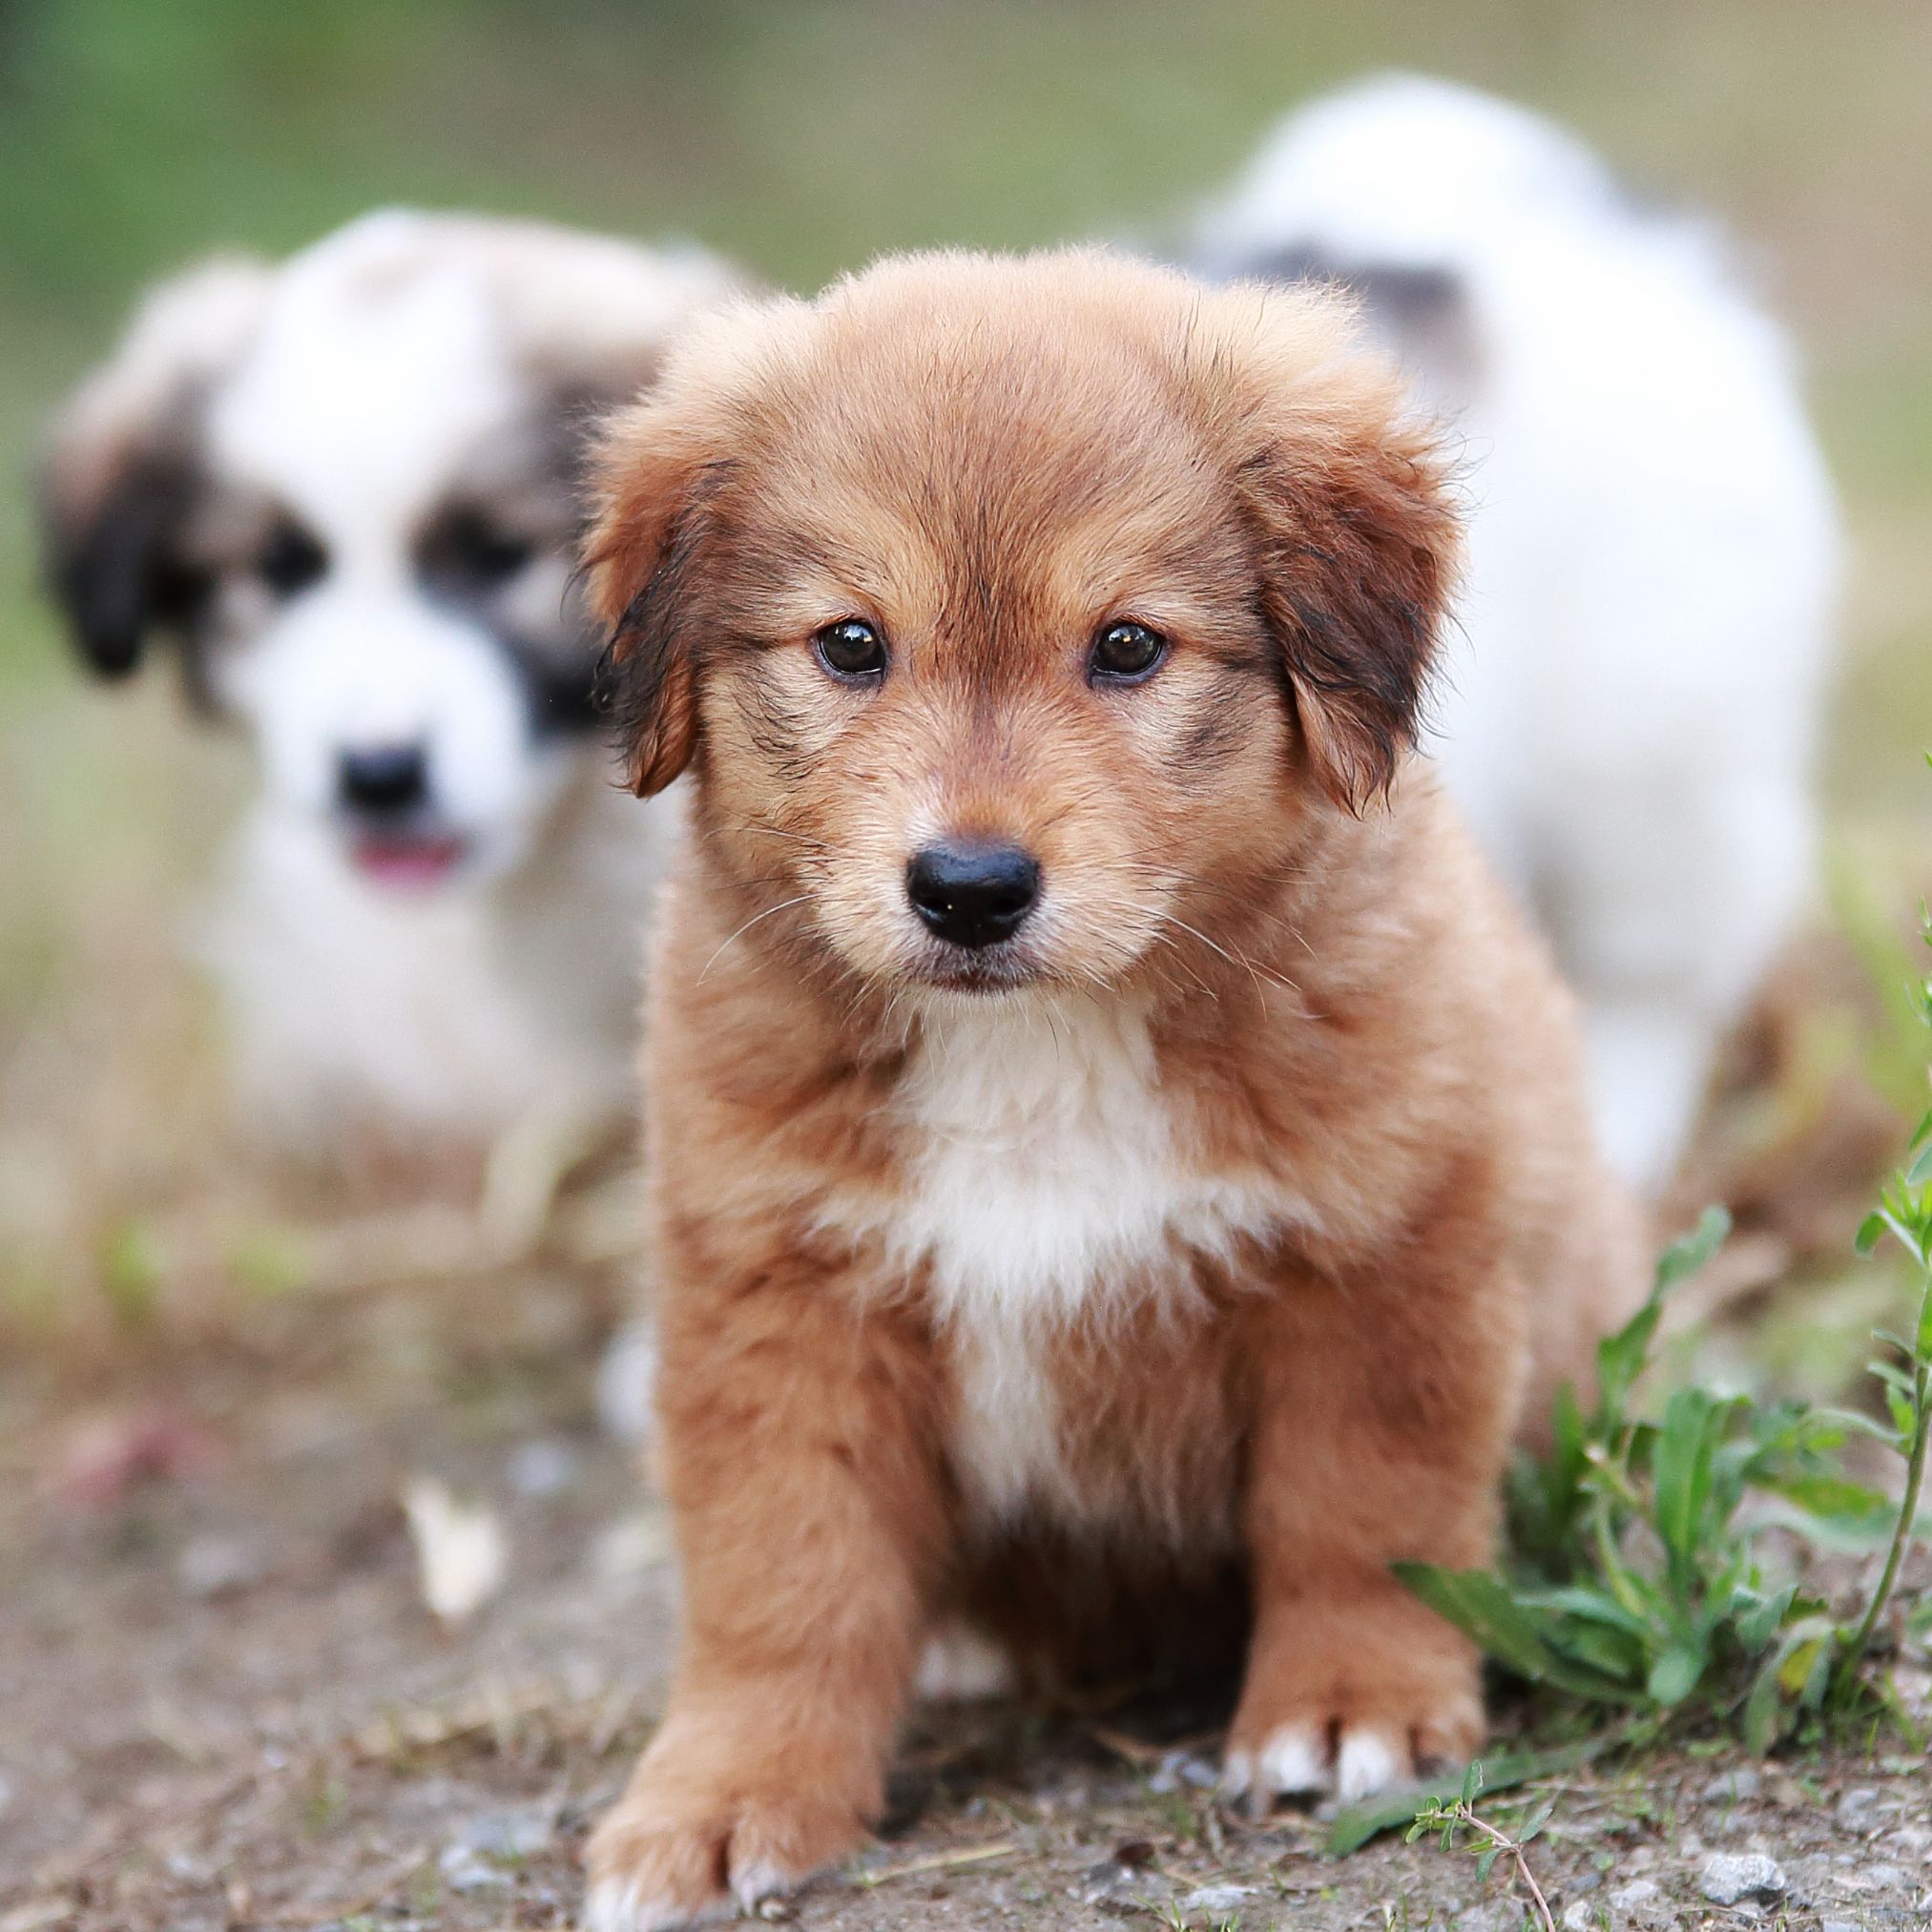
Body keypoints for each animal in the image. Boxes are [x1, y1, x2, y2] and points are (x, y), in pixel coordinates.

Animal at [575, 249, 1646, 1923]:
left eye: (1128, 647)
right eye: (851, 645)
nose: (967, 889)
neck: (1038, 1049)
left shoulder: (1382, 1258)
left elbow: (1365, 1512)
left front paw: (1349, 1703)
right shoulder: (779, 1300)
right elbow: (784, 1579)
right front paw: (727, 1793)